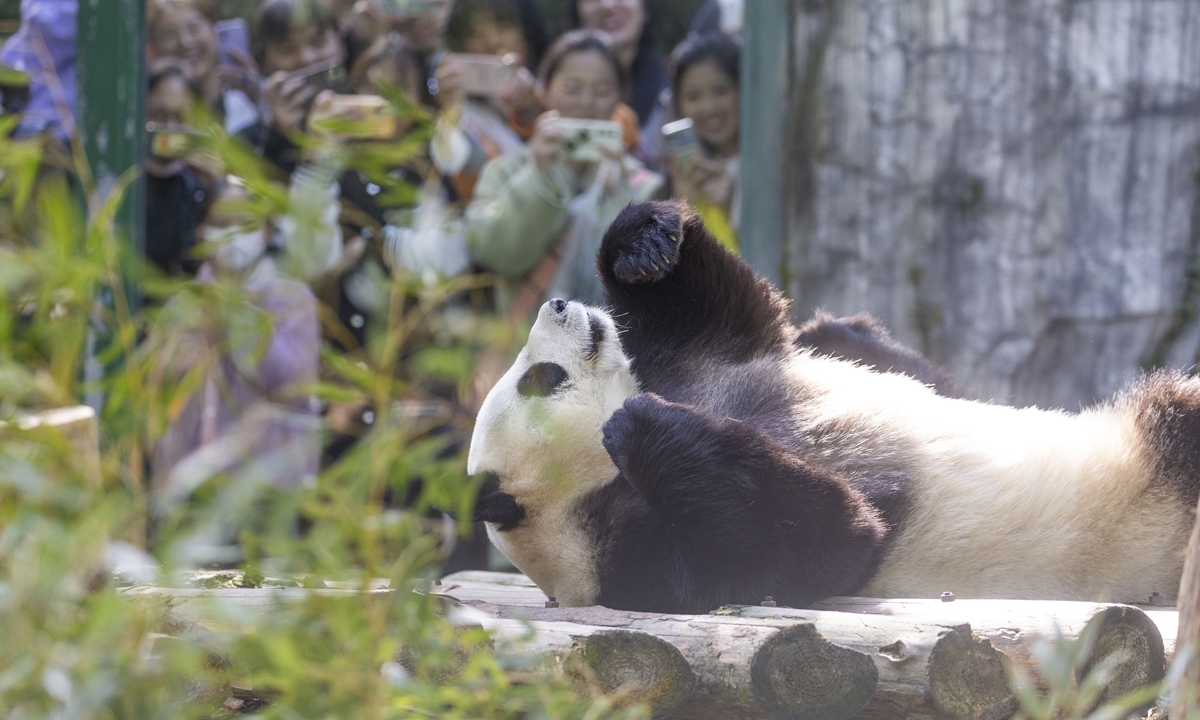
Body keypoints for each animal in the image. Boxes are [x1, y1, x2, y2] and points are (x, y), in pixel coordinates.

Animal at [467, 201, 1200, 614]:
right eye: (541, 378)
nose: (559, 304)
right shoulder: (631, 559)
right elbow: (817, 542)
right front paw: (638, 428)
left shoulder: (705, 365)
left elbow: (733, 315)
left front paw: (644, 247)